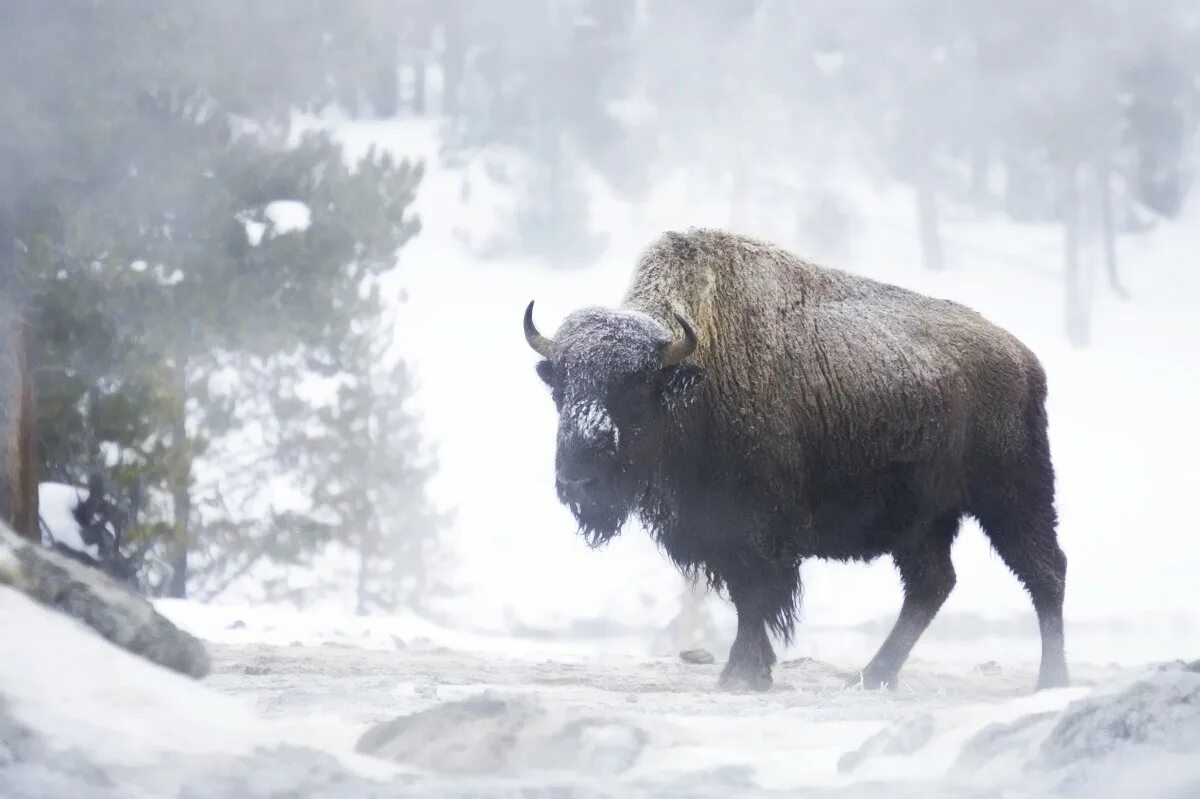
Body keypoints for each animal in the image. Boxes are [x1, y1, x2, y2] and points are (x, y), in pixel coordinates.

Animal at [525, 226, 1070, 686]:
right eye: (561, 386)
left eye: (635, 389)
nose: (577, 481)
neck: (692, 375)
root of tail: (1026, 360)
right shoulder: (716, 530)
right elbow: (745, 596)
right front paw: (753, 669)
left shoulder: (754, 529)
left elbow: (754, 597)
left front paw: (743, 674)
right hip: (923, 522)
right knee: (932, 584)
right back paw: (873, 676)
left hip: (1012, 497)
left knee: (1045, 572)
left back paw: (1051, 680)